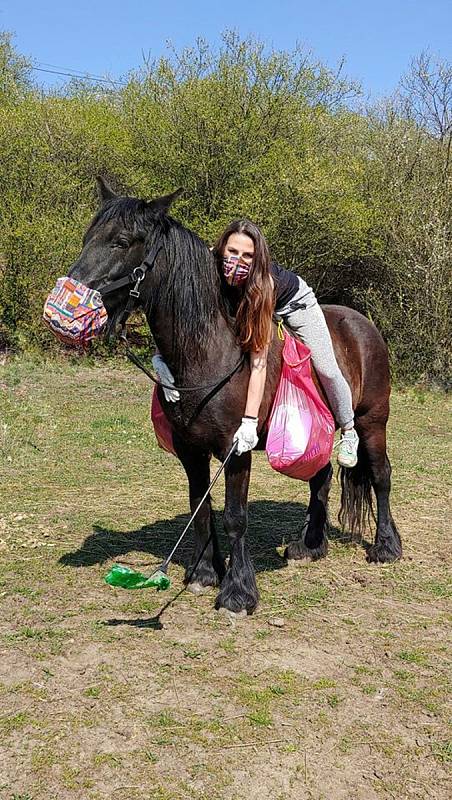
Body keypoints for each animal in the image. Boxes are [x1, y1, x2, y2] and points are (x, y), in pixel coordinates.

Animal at [70, 181, 402, 616]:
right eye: (88, 237)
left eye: (122, 242)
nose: (70, 301)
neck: (209, 354)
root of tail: (363, 323)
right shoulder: (191, 452)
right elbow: (200, 506)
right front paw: (205, 572)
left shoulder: (236, 451)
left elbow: (234, 516)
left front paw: (238, 591)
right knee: (322, 476)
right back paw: (310, 545)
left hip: (371, 421)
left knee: (380, 475)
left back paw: (386, 547)